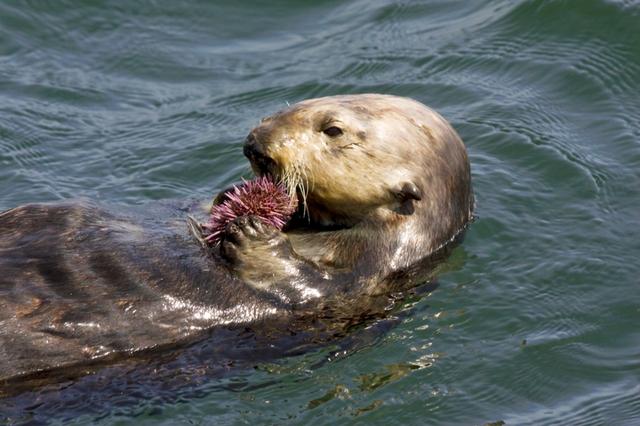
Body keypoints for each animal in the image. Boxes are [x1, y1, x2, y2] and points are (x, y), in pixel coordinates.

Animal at [0, 93, 470, 392]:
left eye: (333, 130)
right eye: (295, 105)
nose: (255, 143)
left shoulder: (364, 280)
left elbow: (304, 286)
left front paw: (251, 234)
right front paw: (228, 199)